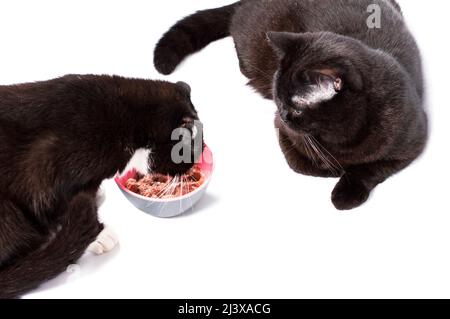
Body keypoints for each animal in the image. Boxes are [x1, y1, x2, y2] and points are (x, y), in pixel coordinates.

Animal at [0, 75, 200, 300]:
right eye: (187, 149)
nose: (198, 157)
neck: (125, 121)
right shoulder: (53, 174)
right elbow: (61, 208)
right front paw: (100, 236)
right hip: (7, 212)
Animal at [155, 1, 428, 211]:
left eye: (295, 108)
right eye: (278, 100)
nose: (283, 115)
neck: (344, 138)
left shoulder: (412, 142)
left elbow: (371, 169)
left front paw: (346, 191)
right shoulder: (284, 135)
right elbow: (302, 164)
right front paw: (335, 170)